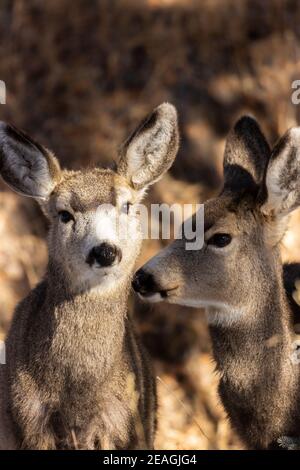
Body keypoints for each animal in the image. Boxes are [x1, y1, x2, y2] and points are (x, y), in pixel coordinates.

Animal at [0, 101, 179, 450]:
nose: (105, 251)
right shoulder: (30, 420)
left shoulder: (119, 423)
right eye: (64, 214)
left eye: (127, 206)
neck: (78, 395)